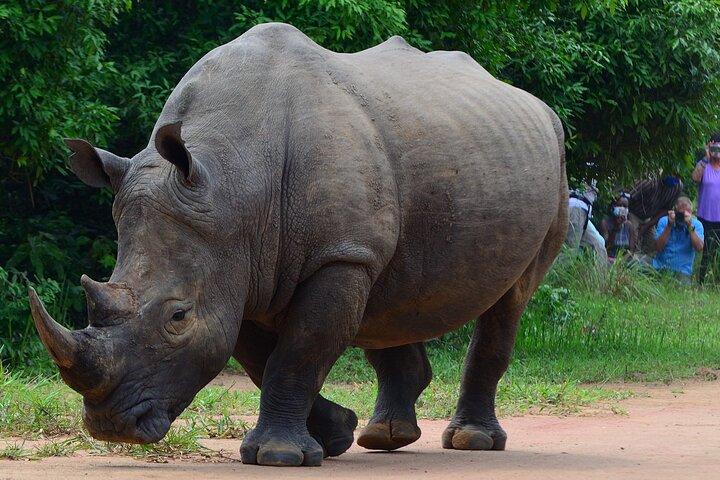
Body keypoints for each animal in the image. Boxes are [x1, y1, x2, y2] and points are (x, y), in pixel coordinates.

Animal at [29, 23, 568, 467]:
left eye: (178, 317)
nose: (113, 427)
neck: (231, 183)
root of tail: (535, 104)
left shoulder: (333, 256)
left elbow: (298, 350)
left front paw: (279, 456)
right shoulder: (237, 260)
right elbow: (260, 356)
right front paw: (335, 436)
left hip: (554, 168)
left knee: (511, 298)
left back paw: (471, 442)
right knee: (391, 293)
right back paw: (383, 437)